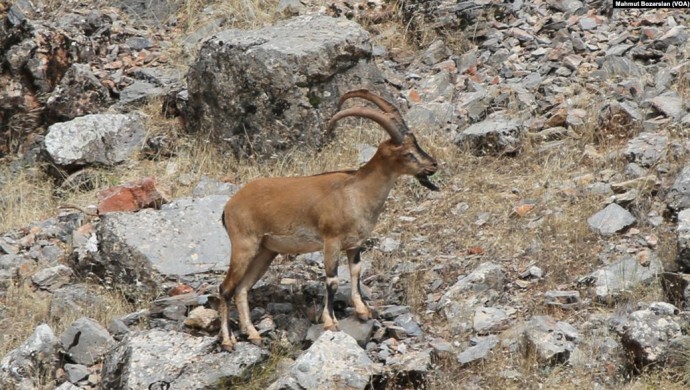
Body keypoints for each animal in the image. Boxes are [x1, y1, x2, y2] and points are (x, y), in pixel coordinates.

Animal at [218, 89, 438, 350]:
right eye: (407, 153)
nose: (433, 165)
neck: (356, 192)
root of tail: (229, 207)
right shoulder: (331, 240)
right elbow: (332, 280)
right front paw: (331, 322)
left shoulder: (355, 244)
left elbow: (356, 272)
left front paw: (363, 311)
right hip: (244, 244)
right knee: (225, 288)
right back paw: (228, 340)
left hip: (265, 251)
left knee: (241, 289)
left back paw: (252, 334)